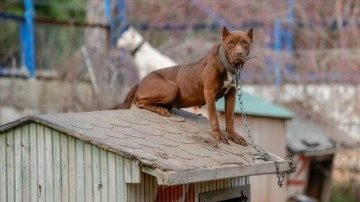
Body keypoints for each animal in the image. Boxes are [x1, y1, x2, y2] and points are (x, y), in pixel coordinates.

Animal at [121, 26, 253, 145]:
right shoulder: (209, 92)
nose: (239, 53)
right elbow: (214, 117)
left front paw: (234, 136)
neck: (228, 66)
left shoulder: (231, 95)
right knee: (139, 102)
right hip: (171, 88)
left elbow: (230, 118)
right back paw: (160, 110)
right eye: (231, 43)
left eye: (245, 43)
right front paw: (218, 135)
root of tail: (140, 81)